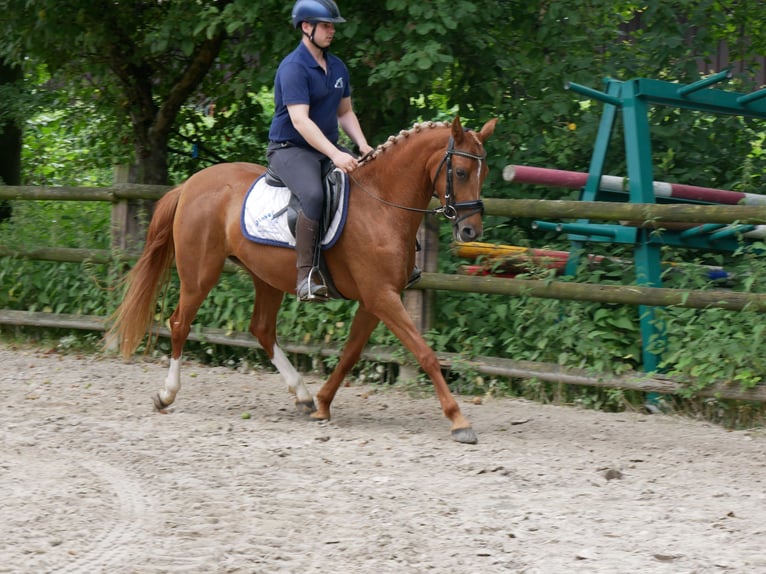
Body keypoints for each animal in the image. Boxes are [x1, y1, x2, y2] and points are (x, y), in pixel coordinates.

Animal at [108, 115, 498, 444]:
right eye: (461, 171)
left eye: (485, 172)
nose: (470, 231)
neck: (382, 204)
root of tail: (190, 185)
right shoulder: (381, 296)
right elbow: (425, 353)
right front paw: (459, 420)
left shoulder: (374, 300)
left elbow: (350, 353)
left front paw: (323, 403)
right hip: (199, 274)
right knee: (179, 323)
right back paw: (166, 394)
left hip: (265, 276)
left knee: (262, 329)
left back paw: (303, 395)